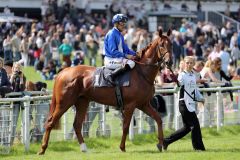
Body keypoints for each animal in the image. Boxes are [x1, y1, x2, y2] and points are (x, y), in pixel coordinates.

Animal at [38, 29, 172, 155]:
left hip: (82, 102)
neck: (141, 73)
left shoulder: (144, 104)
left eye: (170, 44)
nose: (169, 62)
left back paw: (84, 148)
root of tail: (62, 72)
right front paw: (122, 147)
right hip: (64, 102)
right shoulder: (130, 105)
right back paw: (42, 149)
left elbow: (158, 119)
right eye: (161, 45)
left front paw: (160, 143)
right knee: (50, 122)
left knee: (77, 124)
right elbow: (125, 126)